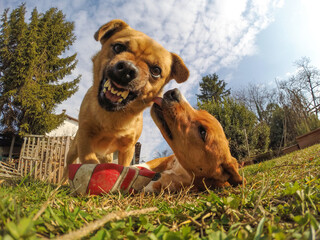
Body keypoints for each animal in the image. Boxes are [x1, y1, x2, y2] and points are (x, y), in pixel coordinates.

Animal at [65, 20, 190, 171]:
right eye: (118, 47)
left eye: (156, 71)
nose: (127, 69)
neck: (113, 116)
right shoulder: (85, 139)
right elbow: (89, 161)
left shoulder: (127, 149)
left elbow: (122, 167)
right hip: (73, 151)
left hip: (107, 155)